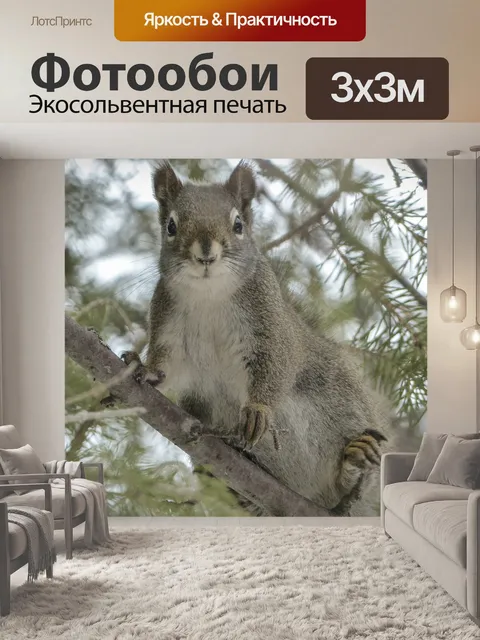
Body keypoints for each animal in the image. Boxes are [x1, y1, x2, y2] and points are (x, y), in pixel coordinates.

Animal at [123, 160, 390, 516]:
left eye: (238, 224)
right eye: (171, 226)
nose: (205, 254)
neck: (210, 294)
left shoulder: (271, 328)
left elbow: (278, 365)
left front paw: (258, 410)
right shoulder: (168, 327)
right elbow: (167, 367)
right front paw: (144, 369)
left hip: (342, 402)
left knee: (353, 487)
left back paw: (354, 466)